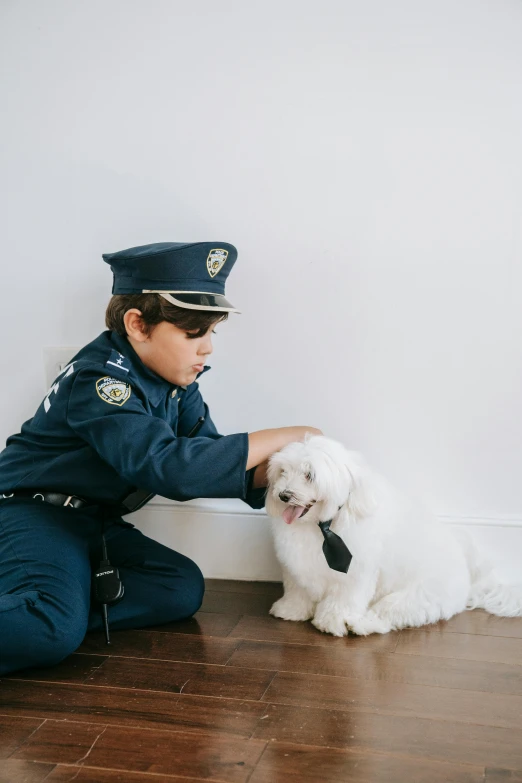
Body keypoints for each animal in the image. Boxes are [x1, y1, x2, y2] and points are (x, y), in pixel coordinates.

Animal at [266, 434, 516, 636]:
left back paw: (357, 624)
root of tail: (470, 579)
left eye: (310, 475)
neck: (322, 525)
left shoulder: (354, 575)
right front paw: (291, 609)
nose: (283, 495)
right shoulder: (296, 567)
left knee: (387, 616)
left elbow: (343, 600)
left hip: (416, 598)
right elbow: (297, 591)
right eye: (283, 472)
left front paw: (332, 620)